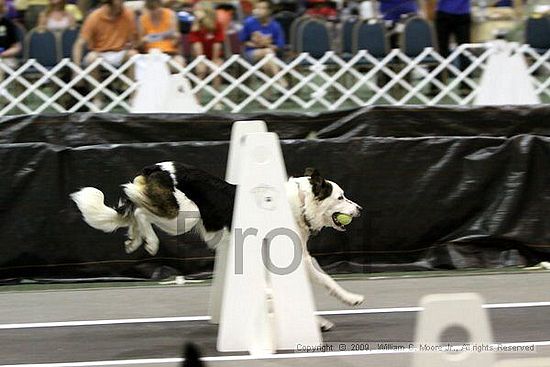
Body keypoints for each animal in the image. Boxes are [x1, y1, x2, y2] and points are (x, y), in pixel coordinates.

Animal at [72, 162, 366, 330]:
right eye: (341, 197)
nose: (360, 210)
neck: (301, 204)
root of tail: (156, 168)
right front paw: (320, 320)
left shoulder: (297, 259)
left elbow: (323, 280)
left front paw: (348, 300)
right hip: (184, 215)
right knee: (142, 211)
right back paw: (151, 242)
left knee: (133, 210)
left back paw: (134, 240)